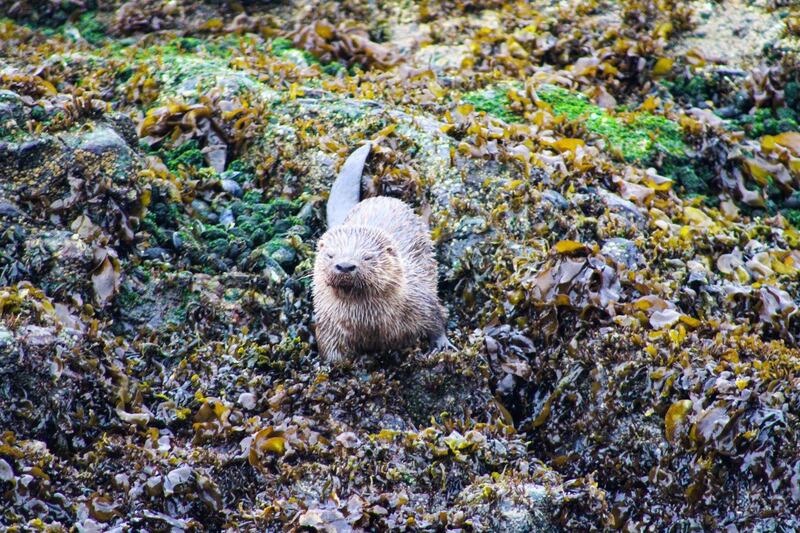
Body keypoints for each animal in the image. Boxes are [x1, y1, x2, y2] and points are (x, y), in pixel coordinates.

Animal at [310, 143, 450, 364]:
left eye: (368, 257)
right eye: (330, 255)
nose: (345, 265)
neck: (370, 324)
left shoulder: (421, 297)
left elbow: (436, 318)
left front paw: (442, 344)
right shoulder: (328, 323)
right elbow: (330, 348)